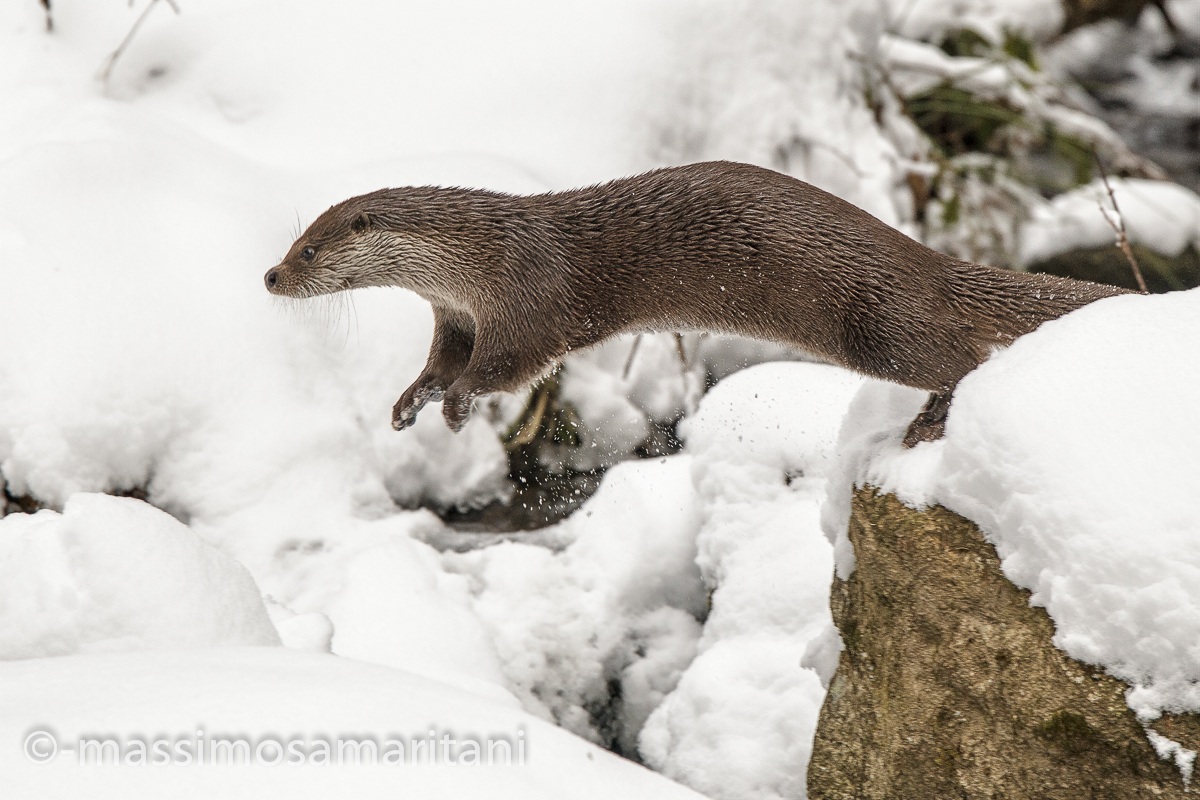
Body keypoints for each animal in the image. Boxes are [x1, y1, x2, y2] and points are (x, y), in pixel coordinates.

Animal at [264, 161, 1127, 446]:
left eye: (309, 250)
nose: (270, 276)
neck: (477, 260)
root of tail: (930, 262)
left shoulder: (525, 299)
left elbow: (507, 366)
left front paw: (457, 408)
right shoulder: (455, 314)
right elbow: (440, 362)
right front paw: (411, 404)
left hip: (879, 318)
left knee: (962, 354)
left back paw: (929, 421)